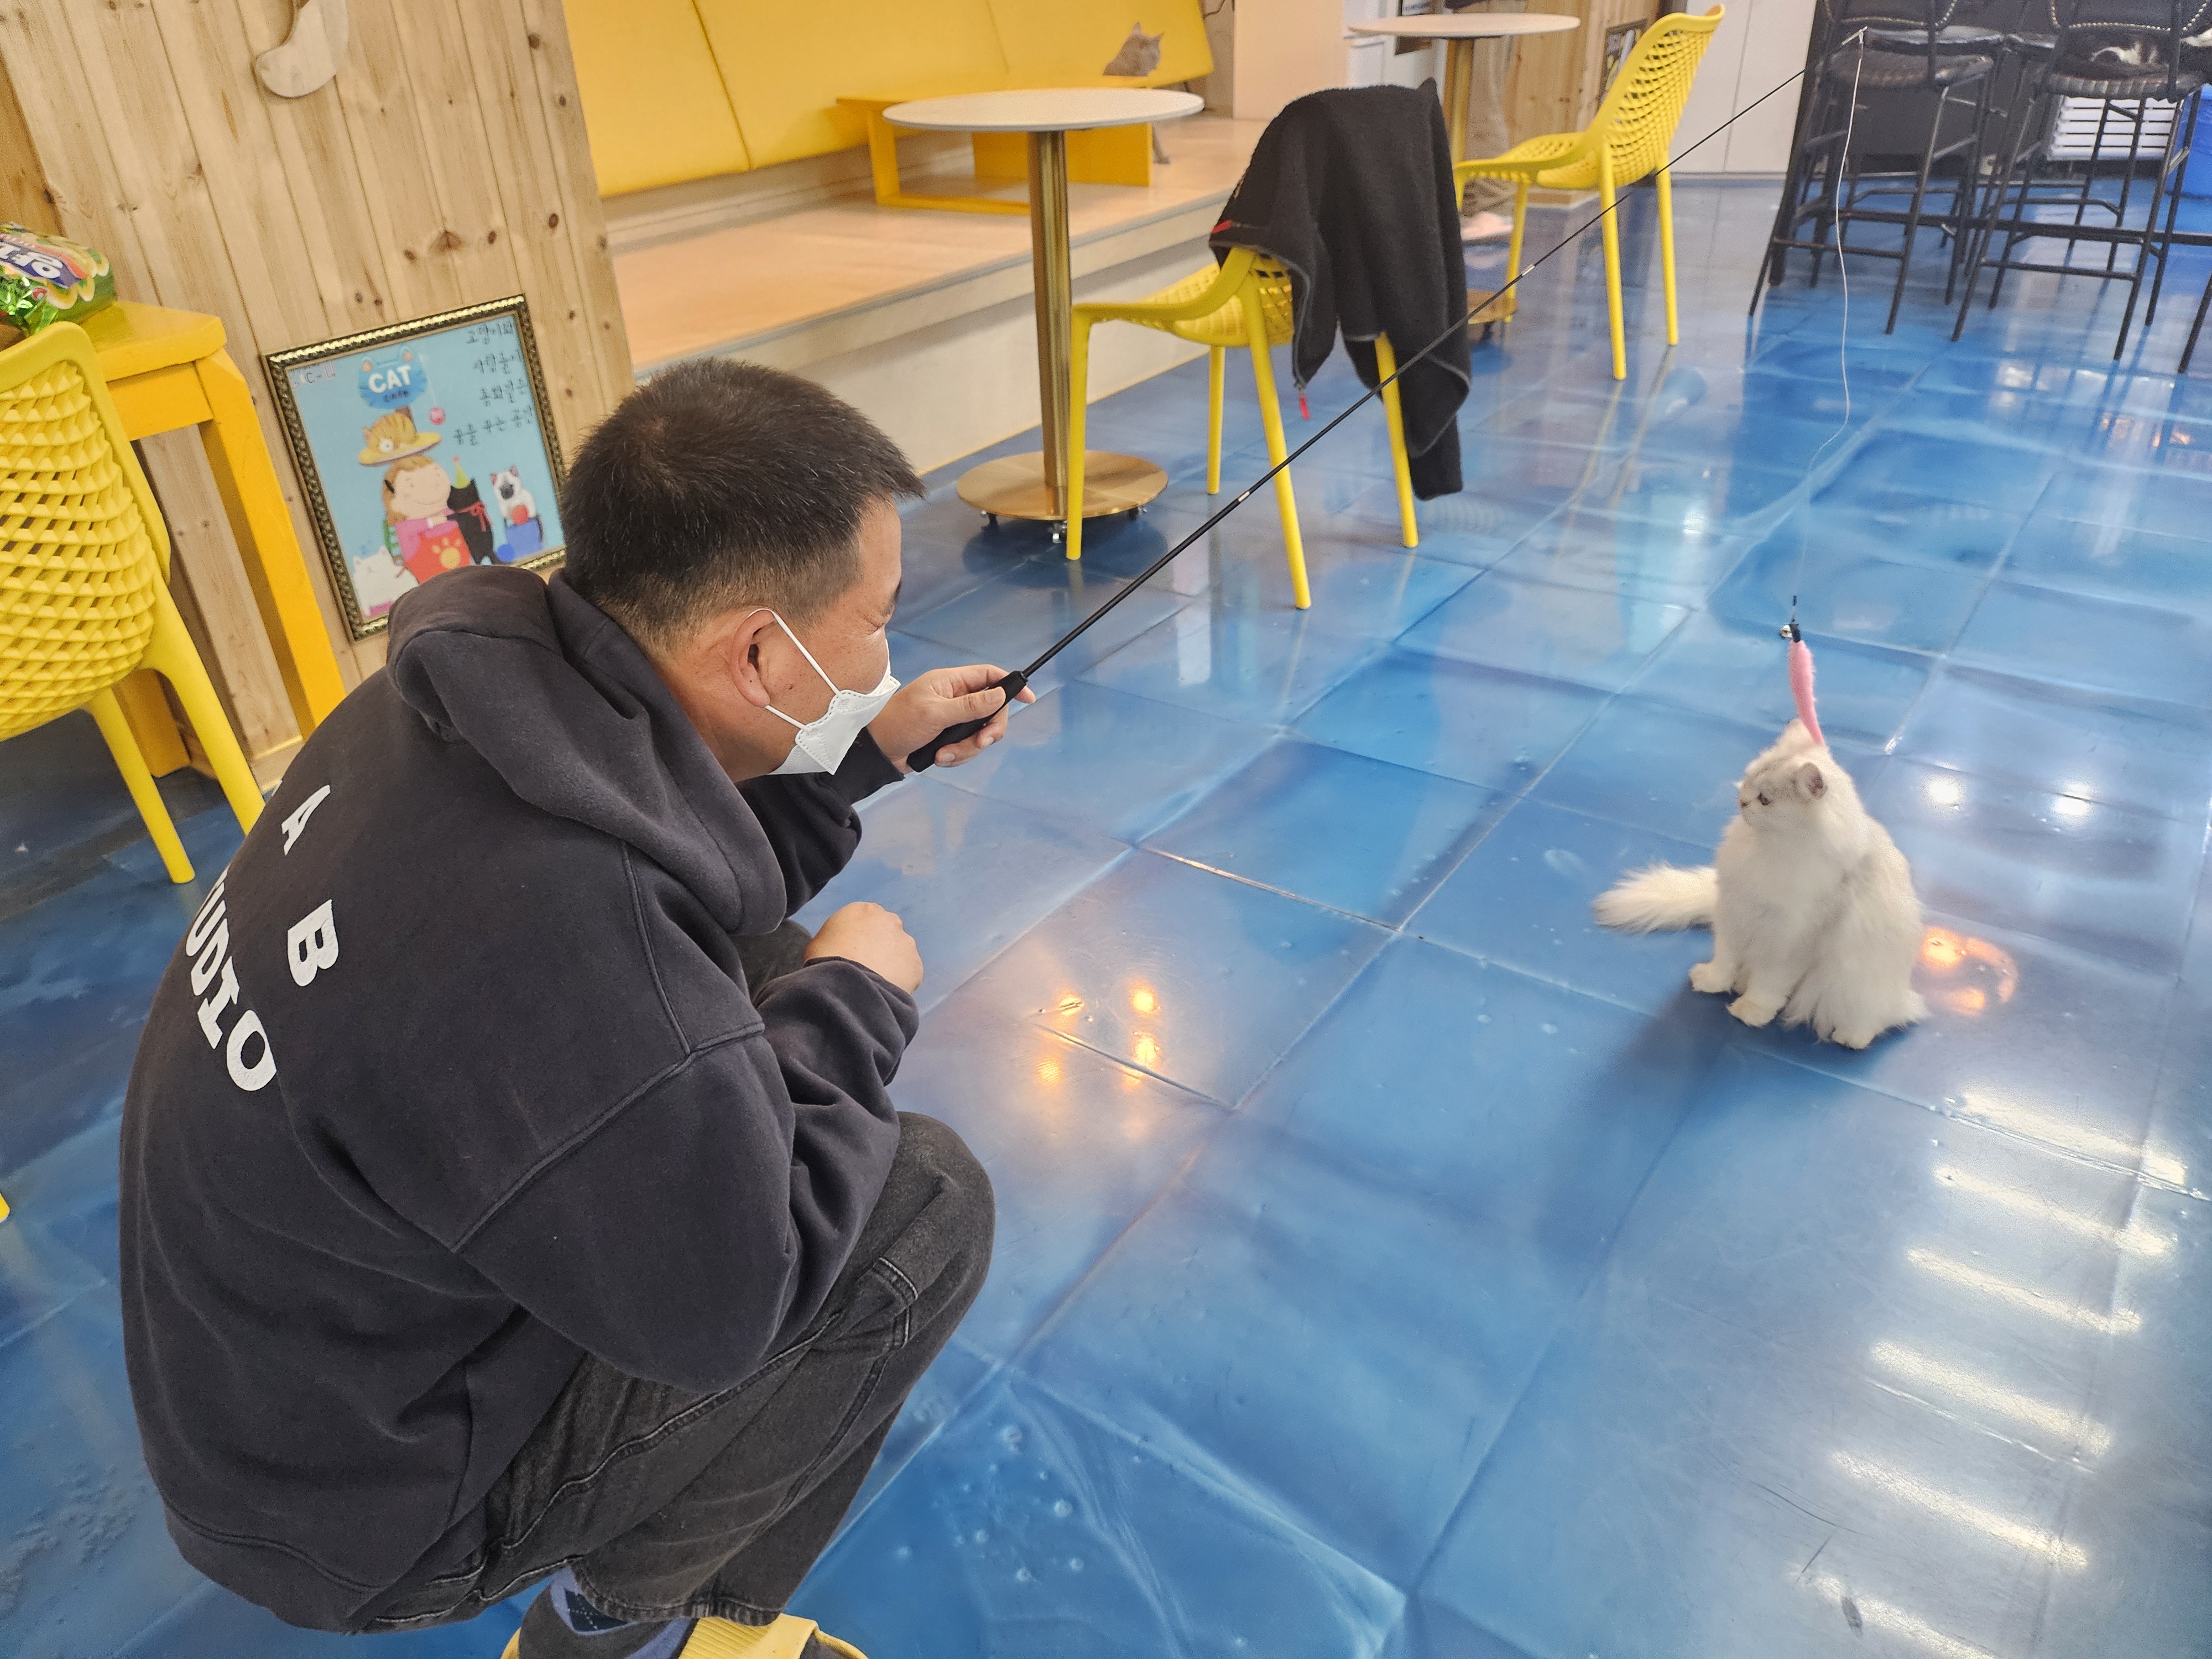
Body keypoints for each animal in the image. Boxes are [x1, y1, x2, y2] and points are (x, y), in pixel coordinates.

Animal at [1592, 719, 1927, 1049]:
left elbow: (1770, 986)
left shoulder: (1791, 942)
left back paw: (1852, 1037)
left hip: (1861, 986)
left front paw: (1751, 1011)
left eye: (1765, 800)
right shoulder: (1734, 915)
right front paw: (1713, 982)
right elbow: (1724, 960)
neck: (1768, 850)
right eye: (1748, 782)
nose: (1741, 802)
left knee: (1878, 1016)